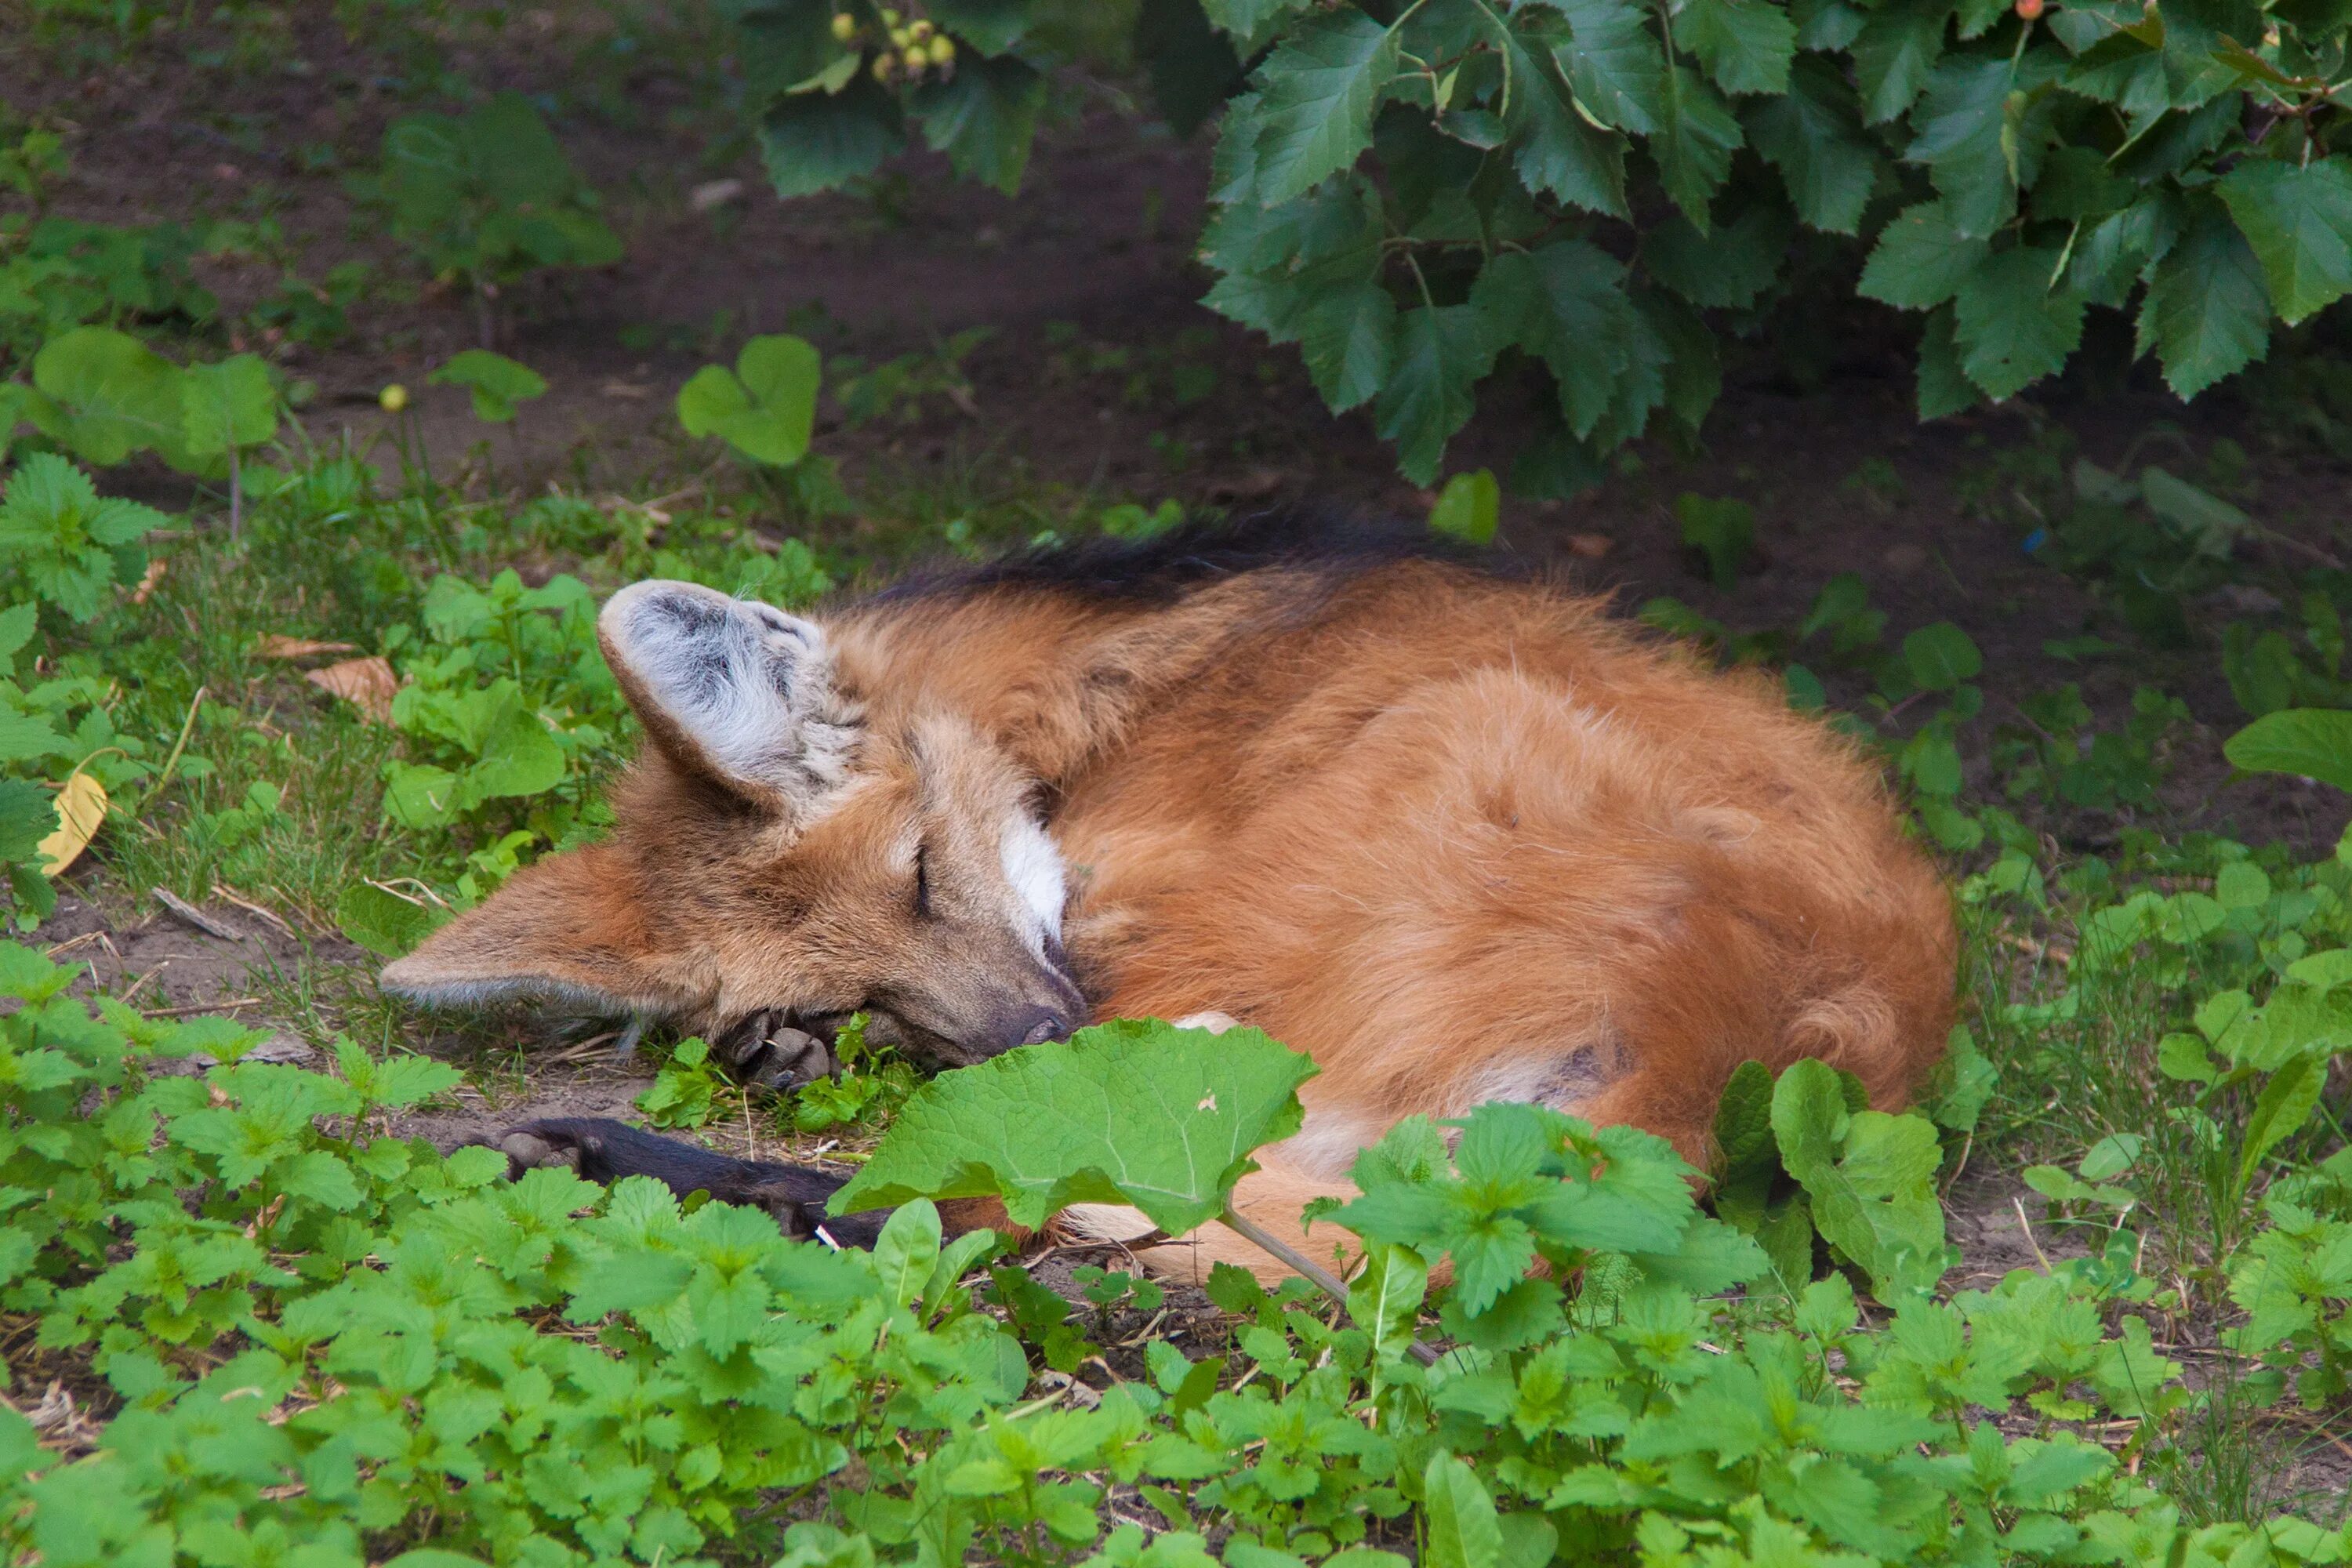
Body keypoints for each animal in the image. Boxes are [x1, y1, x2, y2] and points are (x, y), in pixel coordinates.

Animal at [386, 521, 1957, 1279]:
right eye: (855, 988)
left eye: (922, 876)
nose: (1035, 1036)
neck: (1082, 703)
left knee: (1005, 1202)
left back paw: (611, 1157)